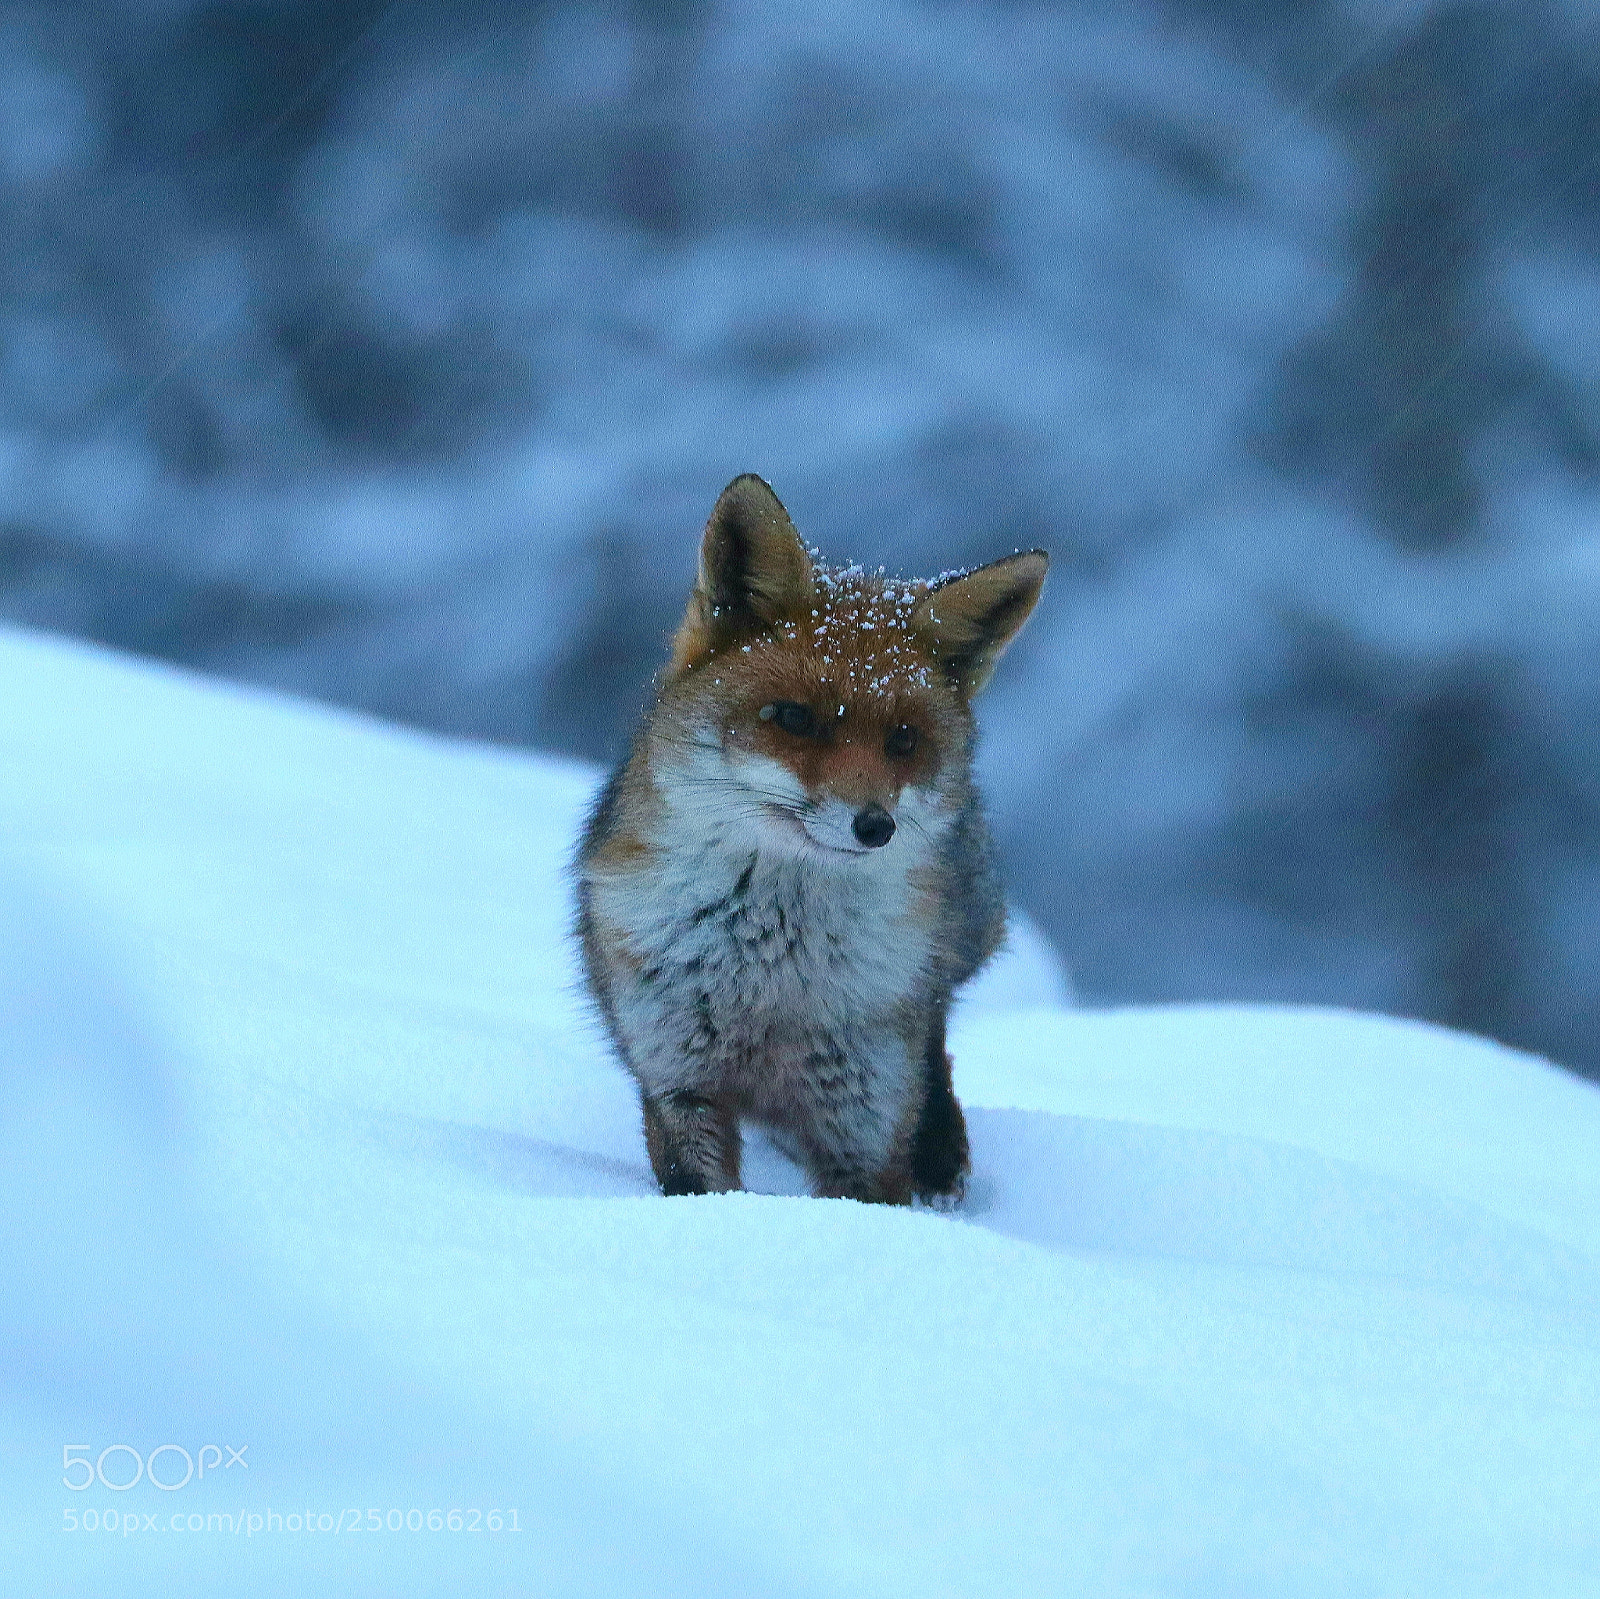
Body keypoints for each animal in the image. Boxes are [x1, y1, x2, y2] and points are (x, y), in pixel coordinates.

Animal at [575, 473, 1047, 1205]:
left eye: (903, 739)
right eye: (794, 719)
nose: (875, 826)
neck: (772, 977)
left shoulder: (863, 1117)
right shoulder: (680, 1085)